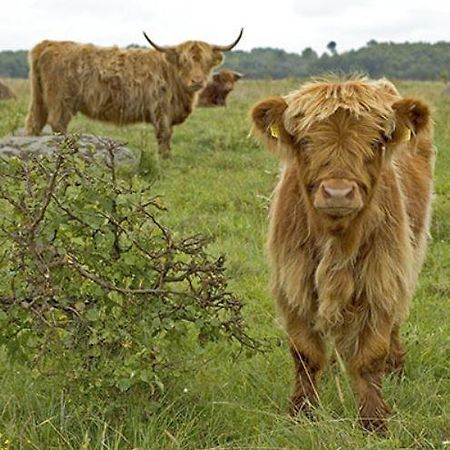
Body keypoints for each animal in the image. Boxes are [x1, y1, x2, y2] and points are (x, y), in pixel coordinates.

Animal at [24, 29, 243, 156]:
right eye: (184, 61)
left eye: (206, 61)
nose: (197, 81)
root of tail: (48, 43)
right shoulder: (160, 109)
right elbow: (164, 135)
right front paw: (165, 159)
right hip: (61, 100)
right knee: (57, 124)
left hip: (39, 98)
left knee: (34, 123)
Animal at [251, 77, 434, 432]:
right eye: (305, 140)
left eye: (376, 140)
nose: (338, 193)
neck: (336, 241)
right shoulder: (293, 282)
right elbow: (305, 354)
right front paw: (301, 413)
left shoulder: (381, 277)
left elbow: (370, 356)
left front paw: (374, 421)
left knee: (393, 325)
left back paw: (395, 366)